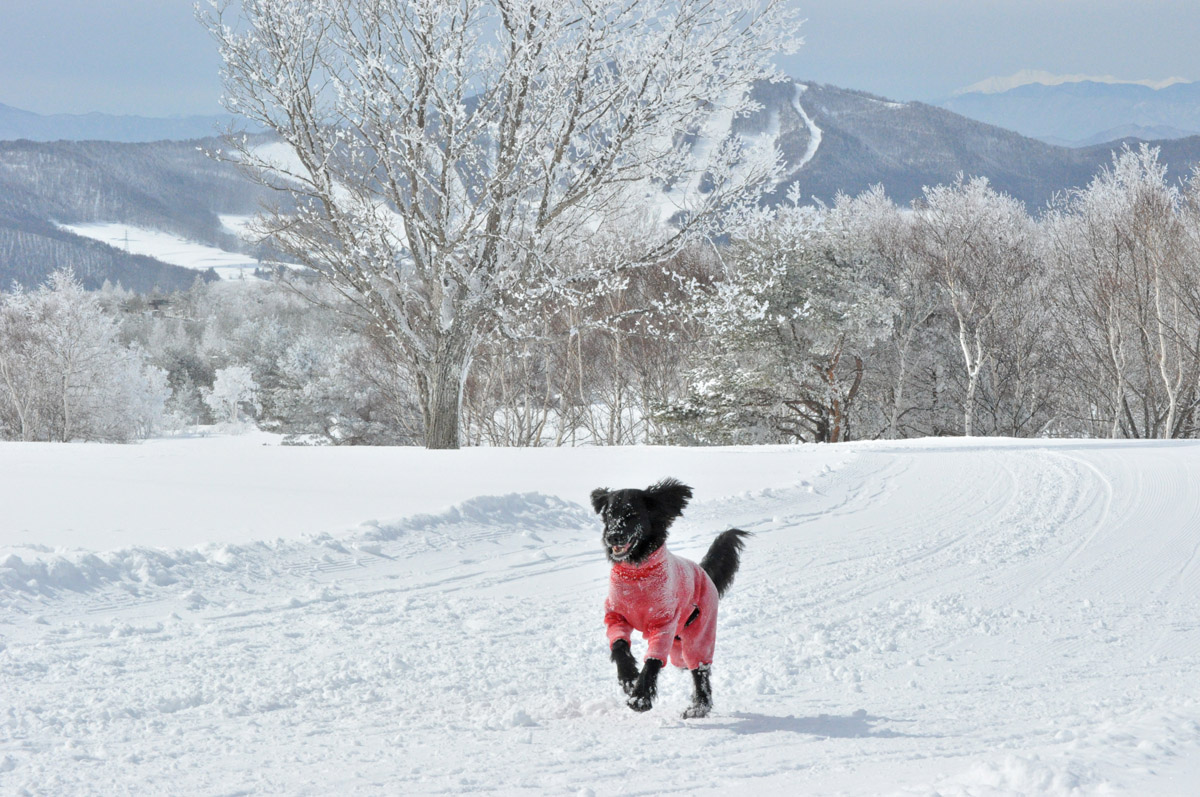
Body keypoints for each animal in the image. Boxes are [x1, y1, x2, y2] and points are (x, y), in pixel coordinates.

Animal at [592, 475, 748, 720]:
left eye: (632, 514)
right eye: (609, 514)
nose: (613, 536)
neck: (636, 572)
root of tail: (703, 570)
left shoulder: (664, 622)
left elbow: (653, 660)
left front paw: (640, 697)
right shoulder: (615, 615)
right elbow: (618, 645)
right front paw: (628, 678)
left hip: (699, 633)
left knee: (700, 670)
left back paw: (698, 707)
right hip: (678, 644)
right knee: (685, 664)